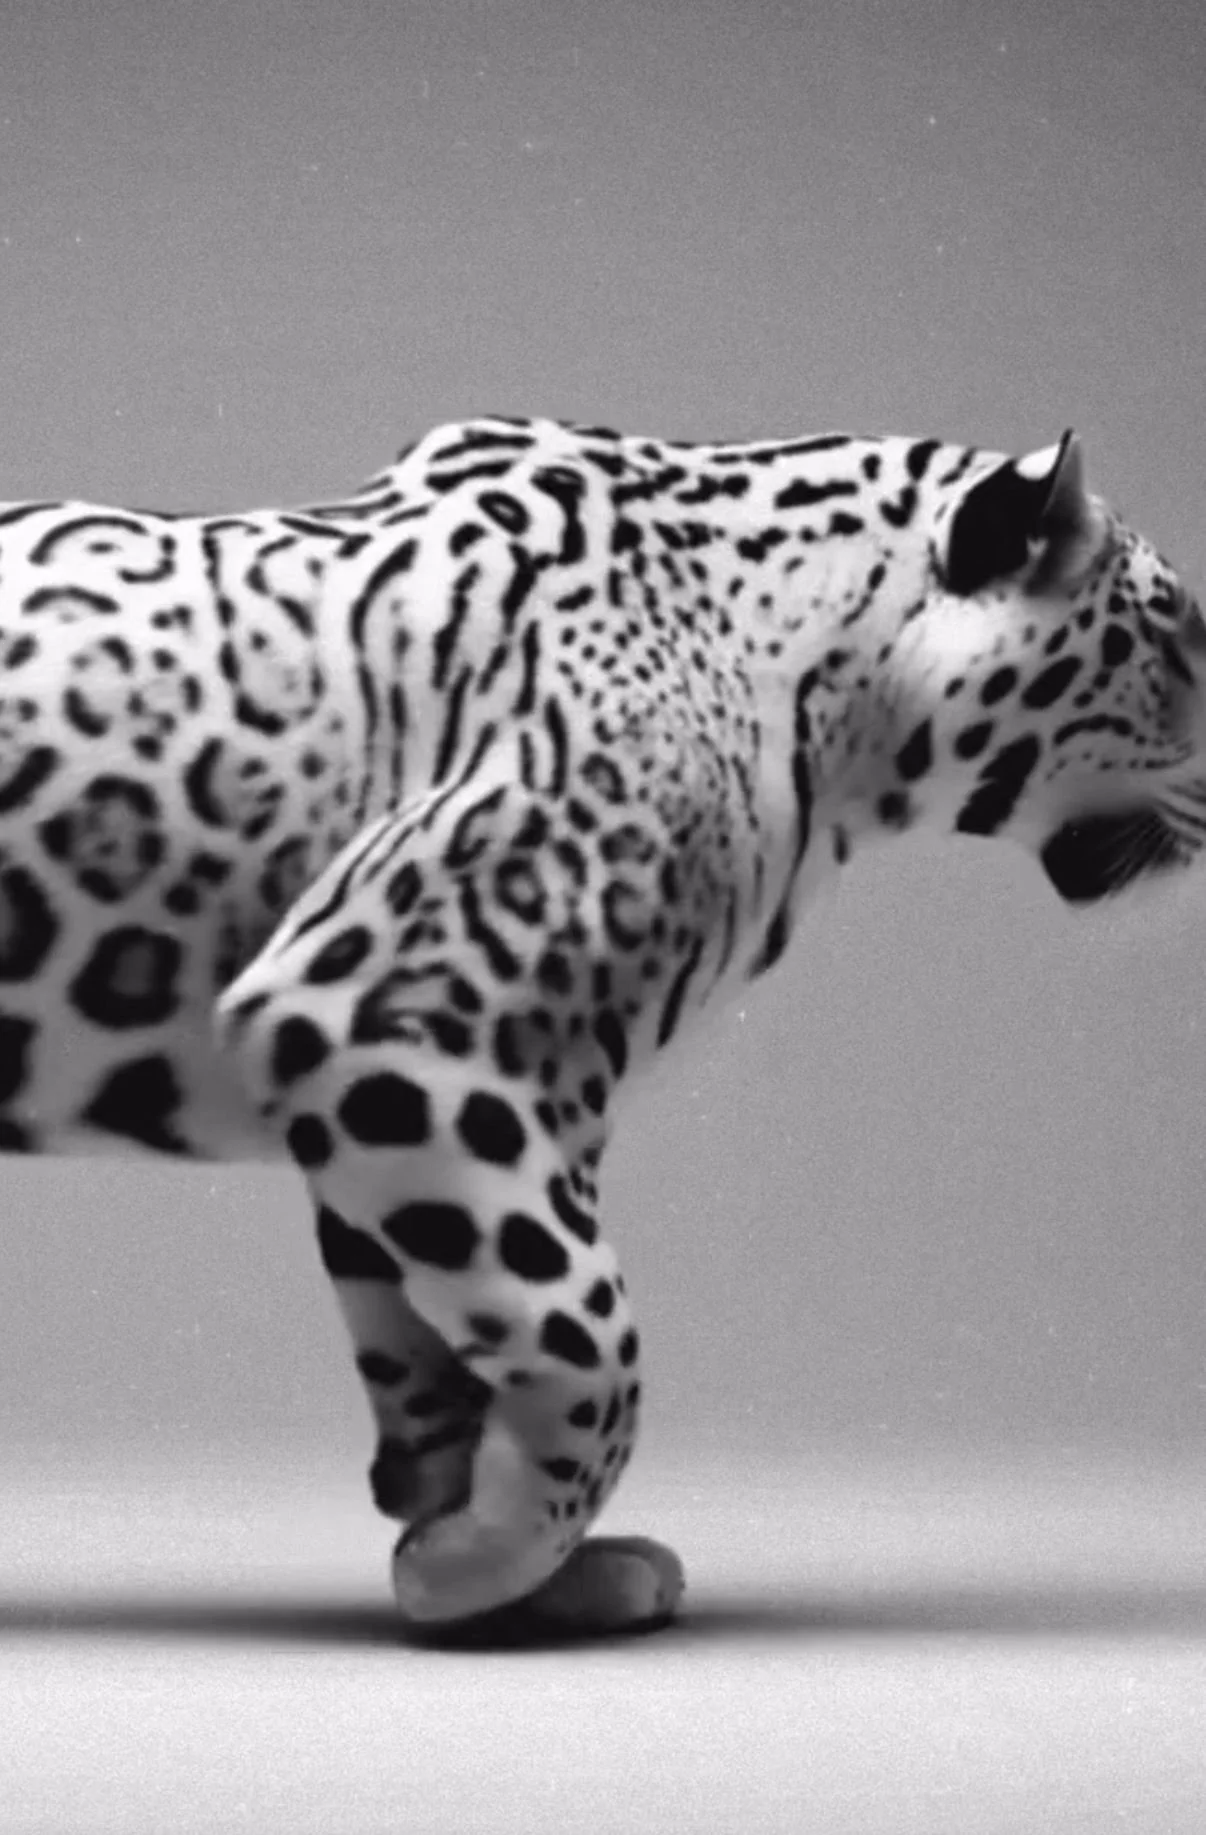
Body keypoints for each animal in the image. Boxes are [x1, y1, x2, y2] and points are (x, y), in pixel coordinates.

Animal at [1, 414, 1204, 1637]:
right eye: (1181, 641)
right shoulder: (386, 1022)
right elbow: (586, 1334)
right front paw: (477, 1559)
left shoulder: (488, 1089)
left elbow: (430, 1335)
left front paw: (495, 1552)